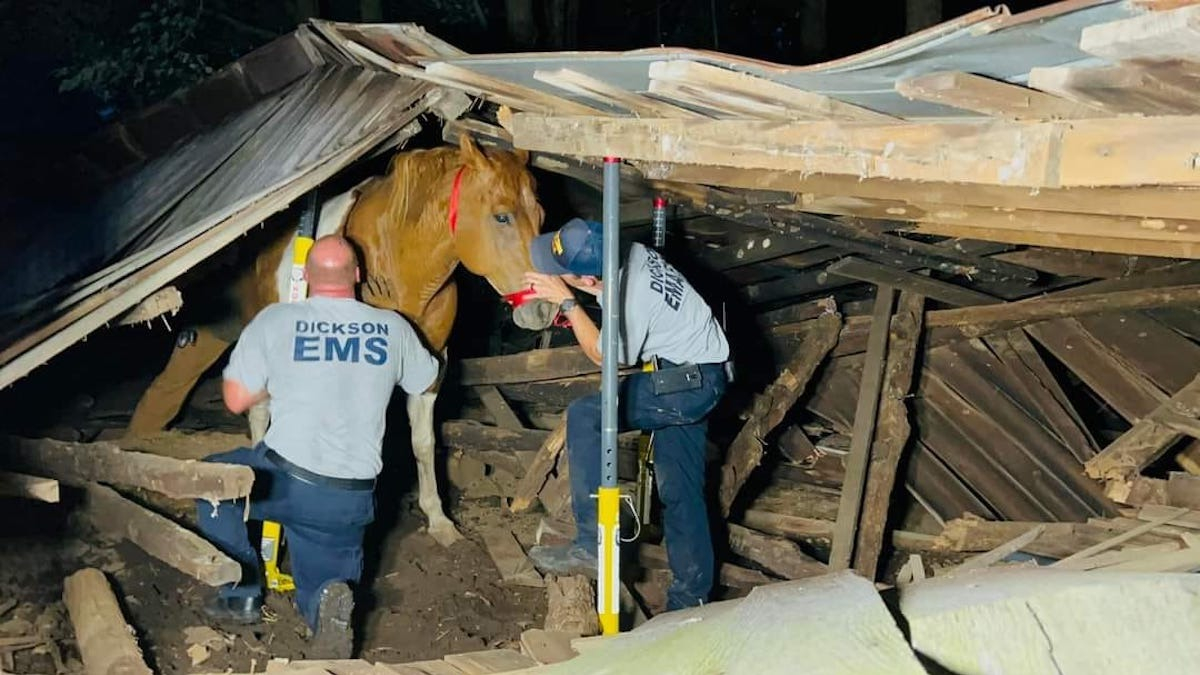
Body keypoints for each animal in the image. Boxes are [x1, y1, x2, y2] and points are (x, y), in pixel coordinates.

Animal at [124, 133, 554, 542]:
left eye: (541, 214)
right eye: (502, 217)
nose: (544, 310)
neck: (400, 268)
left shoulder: (431, 368)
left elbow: (422, 442)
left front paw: (438, 520)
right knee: (258, 412)